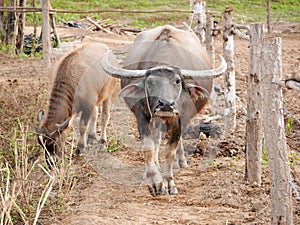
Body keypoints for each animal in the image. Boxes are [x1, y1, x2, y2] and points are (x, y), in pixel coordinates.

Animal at [102, 24, 226, 196]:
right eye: (150, 82)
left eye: (177, 81)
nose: (166, 104)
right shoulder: (142, 117)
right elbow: (149, 146)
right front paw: (155, 182)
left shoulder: (179, 119)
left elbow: (169, 151)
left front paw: (169, 182)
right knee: (156, 140)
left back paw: (181, 161)